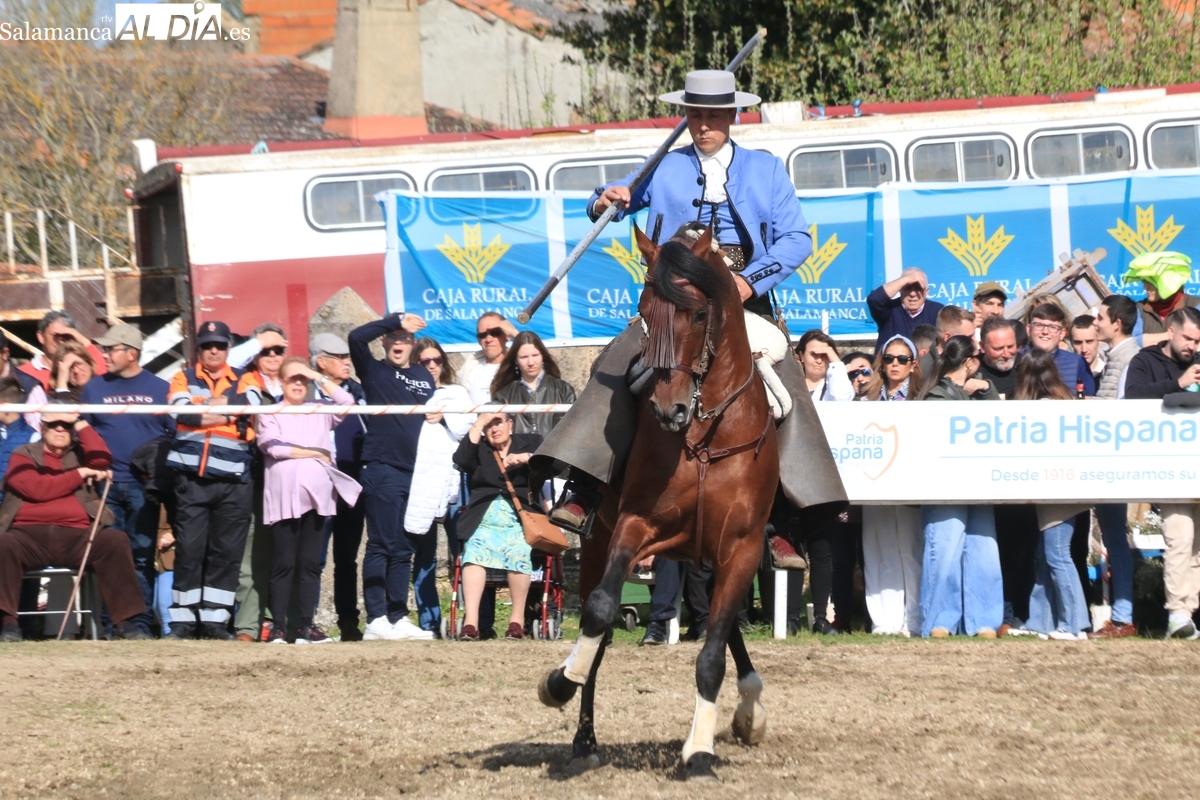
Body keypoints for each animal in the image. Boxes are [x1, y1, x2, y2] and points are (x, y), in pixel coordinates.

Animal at [537, 223, 781, 780]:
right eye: (645, 311)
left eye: (699, 313)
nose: (668, 410)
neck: (708, 430)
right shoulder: (635, 525)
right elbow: (600, 611)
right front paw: (560, 682)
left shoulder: (741, 548)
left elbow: (712, 652)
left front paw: (700, 751)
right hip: (603, 542)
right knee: (603, 632)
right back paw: (584, 738)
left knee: (722, 628)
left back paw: (749, 710)